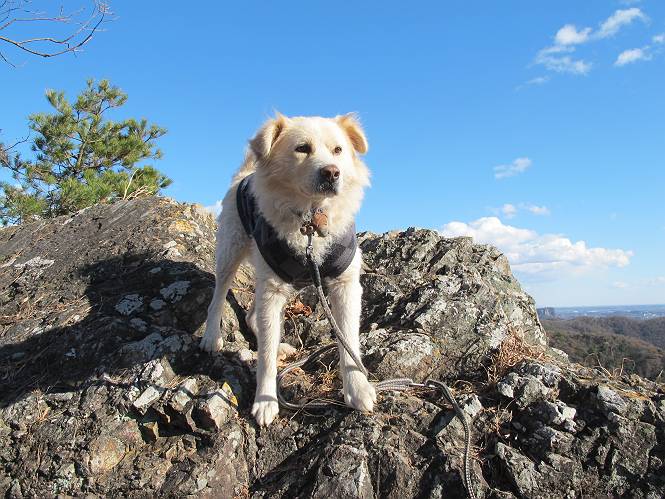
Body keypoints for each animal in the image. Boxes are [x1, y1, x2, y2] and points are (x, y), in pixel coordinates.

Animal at [200, 113, 376, 426]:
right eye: (302, 148)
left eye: (338, 150)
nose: (332, 173)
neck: (311, 222)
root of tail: (244, 176)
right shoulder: (272, 290)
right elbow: (266, 358)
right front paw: (265, 400)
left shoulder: (345, 285)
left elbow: (349, 340)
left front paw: (358, 390)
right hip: (231, 252)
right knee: (219, 296)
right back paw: (211, 337)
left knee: (253, 317)